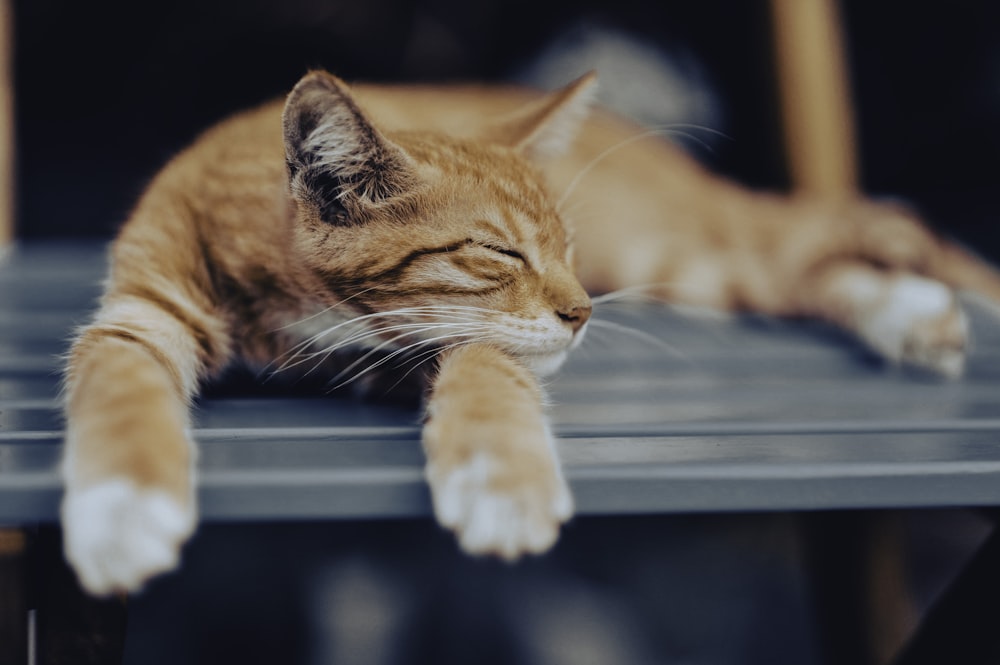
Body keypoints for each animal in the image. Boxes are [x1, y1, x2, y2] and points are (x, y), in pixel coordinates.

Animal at [60, 70, 1000, 592]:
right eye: (501, 251)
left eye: (566, 251)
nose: (583, 311)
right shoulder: (139, 310)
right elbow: (117, 386)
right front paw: (121, 512)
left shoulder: (467, 336)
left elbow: (489, 367)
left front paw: (500, 480)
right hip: (699, 272)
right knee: (809, 267)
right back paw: (911, 316)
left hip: (685, 247)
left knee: (841, 231)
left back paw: (922, 307)